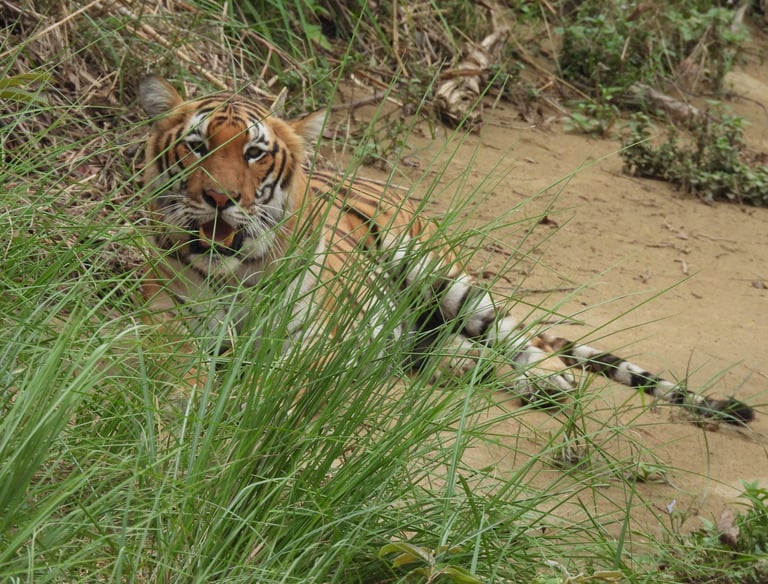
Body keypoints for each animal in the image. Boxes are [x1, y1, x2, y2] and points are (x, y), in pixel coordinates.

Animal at [137, 74, 754, 425]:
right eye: (197, 146)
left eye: (256, 153)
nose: (220, 198)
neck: (236, 271)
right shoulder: (162, 324)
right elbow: (178, 367)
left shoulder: (309, 341)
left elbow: (270, 377)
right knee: (449, 352)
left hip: (445, 278)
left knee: (529, 343)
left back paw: (546, 380)